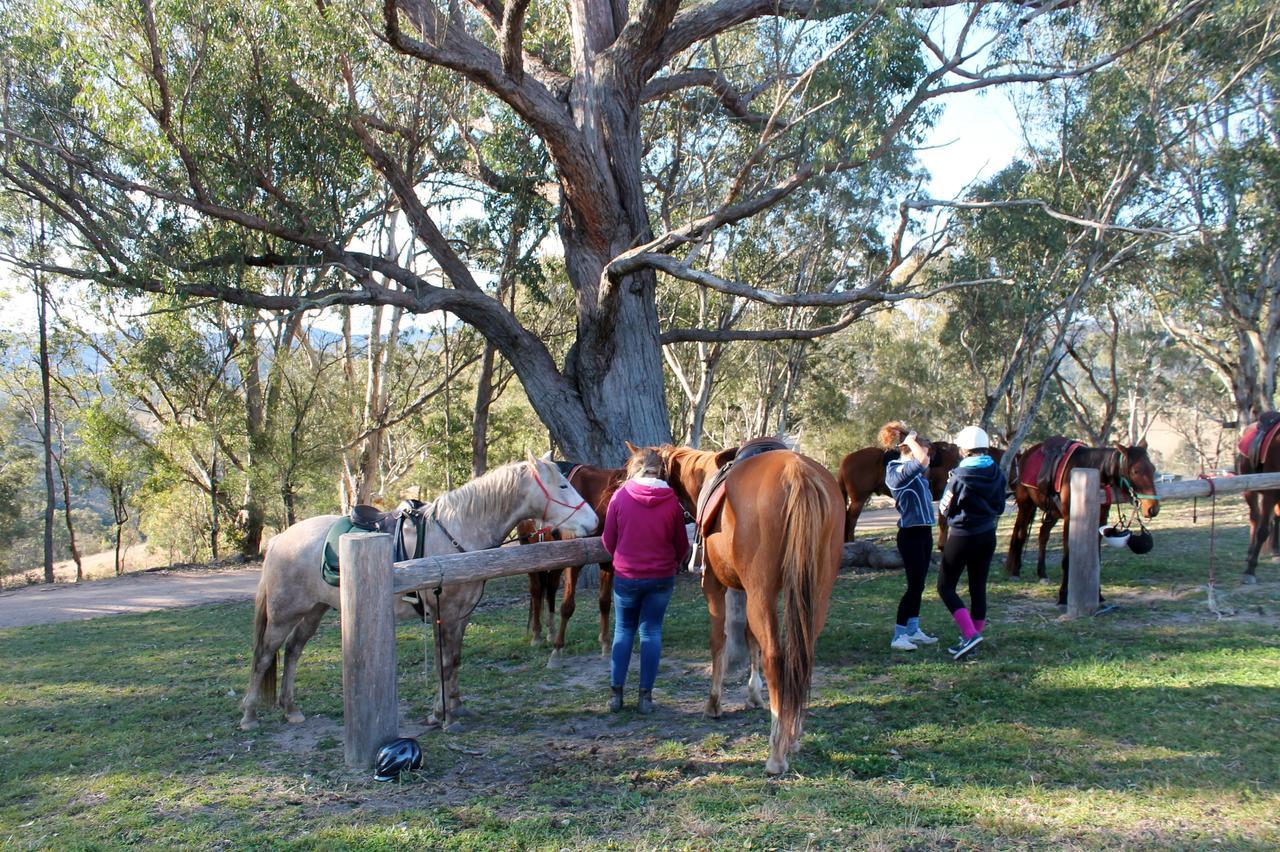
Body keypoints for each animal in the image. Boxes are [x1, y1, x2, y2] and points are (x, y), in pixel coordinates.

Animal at [238, 450, 596, 731]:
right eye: (563, 485)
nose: (593, 523)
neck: (458, 532)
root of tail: (278, 539)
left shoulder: (460, 616)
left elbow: (454, 659)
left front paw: (453, 706)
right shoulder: (445, 613)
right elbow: (445, 661)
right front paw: (444, 715)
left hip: (314, 610)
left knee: (293, 650)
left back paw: (291, 709)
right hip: (285, 614)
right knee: (265, 654)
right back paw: (250, 715)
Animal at [517, 460, 622, 660]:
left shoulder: (606, 562)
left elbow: (604, 602)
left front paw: (605, 644)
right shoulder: (574, 562)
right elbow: (567, 606)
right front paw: (557, 650)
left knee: (550, 587)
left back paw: (550, 632)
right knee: (536, 590)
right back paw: (537, 635)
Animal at [645, 440, 844, 772]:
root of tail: (798, 474)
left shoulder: (715, 586)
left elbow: (719, 641)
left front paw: (714, 703)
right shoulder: (745, 591)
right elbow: (751, 640)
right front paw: (753, 694)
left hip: (762, 592)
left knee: (776, 656)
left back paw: (777, 751)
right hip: (815, 593)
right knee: (803, 654)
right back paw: (794, 733)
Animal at [1008, 437, 1162, 603]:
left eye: (1153, 469)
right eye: (1135, 471)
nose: (1153, 508)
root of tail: (1026, 453)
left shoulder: (1100, 519)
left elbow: (1097, 558)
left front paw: (1099, 595)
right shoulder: (1070, 519)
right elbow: (1067, 559)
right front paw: (1063, 595)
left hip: (1052, 512)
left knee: (1043, 534)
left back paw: (1042, 574)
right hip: (1026, 505)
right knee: (1020, 534)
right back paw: (1014, 572)